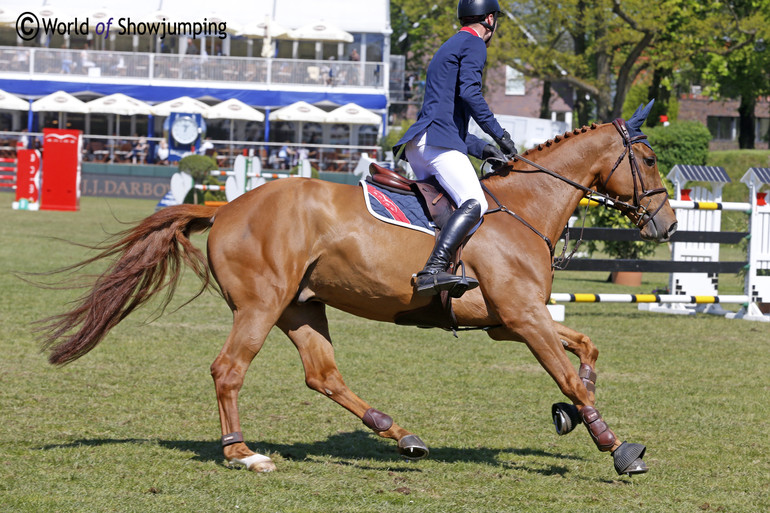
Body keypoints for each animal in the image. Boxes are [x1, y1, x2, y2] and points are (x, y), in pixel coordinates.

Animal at [42, 114, 676, 474]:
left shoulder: (509, 321)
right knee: (229, 370)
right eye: (647, 159)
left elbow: (586, 348)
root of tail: (225, 207)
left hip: (300, 306)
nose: (667, 224)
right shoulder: (521, 318)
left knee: (322, 375)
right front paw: (615, 446)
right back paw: (243, 453)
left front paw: (574, 415)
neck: (523, 208)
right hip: (261, 305)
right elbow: (568, 374)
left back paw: (399, 434)